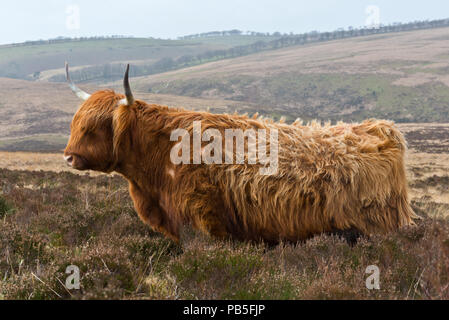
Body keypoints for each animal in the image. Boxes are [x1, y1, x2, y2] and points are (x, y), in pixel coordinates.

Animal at [63, 63, 416, 242]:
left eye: (94, 127)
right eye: (75, 124)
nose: (68, 156)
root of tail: (381, 129)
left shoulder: (205, 220)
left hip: (377, 226)